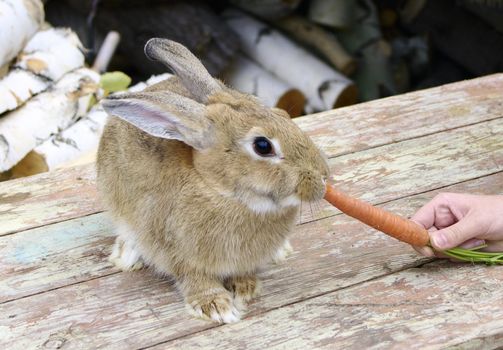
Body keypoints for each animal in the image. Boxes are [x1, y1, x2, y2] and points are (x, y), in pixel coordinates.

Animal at [97, 38, 330, 322]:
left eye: (283, 114)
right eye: (263, 146)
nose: (323, 176)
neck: (222, 192)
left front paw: (245, 287)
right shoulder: (179, 254)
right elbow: (194, 278)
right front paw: (216, 306)